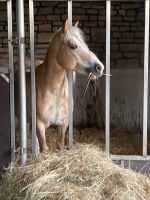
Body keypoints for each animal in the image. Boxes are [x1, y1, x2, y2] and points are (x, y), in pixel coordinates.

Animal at [14, 19, 104, 152]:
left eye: (85, 44)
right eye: (73, 46)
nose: (100, 67)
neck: (54, 91)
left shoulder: (63, 123)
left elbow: (60, 144)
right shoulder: (39, 125)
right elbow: (45, 148)